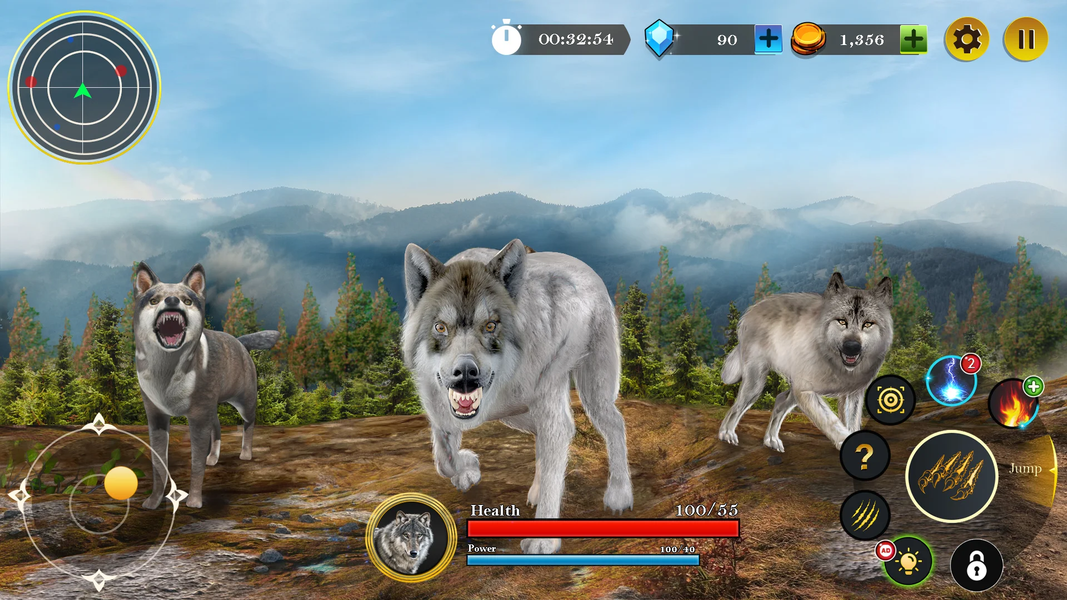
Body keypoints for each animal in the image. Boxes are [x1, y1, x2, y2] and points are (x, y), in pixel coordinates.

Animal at [133, 263, 280, 509]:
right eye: (153, 300)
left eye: (187, 300)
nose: (172, 300)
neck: (167, 370)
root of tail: (240, 342)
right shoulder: (156, 418)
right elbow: (158, 464)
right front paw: (153, 501)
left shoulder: (198, 418)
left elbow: (196, 465)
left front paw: (193, 501)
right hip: (212, 407)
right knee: (218, 426)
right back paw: (213, 458)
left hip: (244, 402)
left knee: (248, 425)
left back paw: (245, 454)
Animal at [402, 239, 633, 555]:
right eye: (440, 327)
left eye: (490, 326)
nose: (465, 373)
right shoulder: (441, 411)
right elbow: (444, 461)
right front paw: (469, 469)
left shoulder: (548, 408)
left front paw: (543, 540)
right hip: (519, 414)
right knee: (546, 437)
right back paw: (535, 489)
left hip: (592, 392)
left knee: (614, 423)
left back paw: (620, 494)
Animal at [717, 272, 893, 451]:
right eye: (842, 321)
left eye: (868, 324)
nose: (852, 347)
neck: (834, 363)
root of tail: (750, 311)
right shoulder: (805, 391)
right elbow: (831, 421)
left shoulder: (852, 394)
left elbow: (851, 424)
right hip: (756, 386)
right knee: (736, 407)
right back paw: (726, 434)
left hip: (791, 391)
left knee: (779, 400)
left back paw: (771, 440)